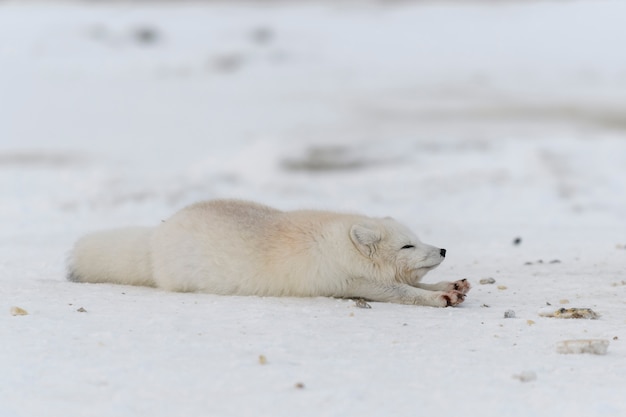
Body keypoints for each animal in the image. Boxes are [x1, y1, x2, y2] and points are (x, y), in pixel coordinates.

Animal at [67, 198, 468, 306]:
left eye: (417, 238)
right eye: (407, 245)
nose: (443, 249)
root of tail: (155, 236)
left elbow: (419, 285)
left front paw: (450, 285)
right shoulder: (352, 283)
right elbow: (405, 292)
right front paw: (439, 297)